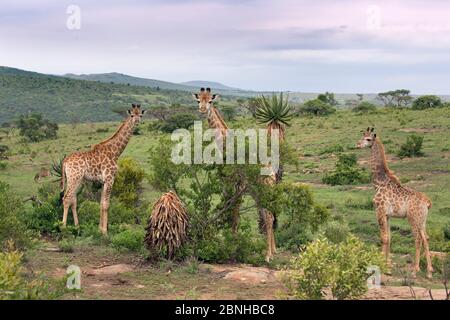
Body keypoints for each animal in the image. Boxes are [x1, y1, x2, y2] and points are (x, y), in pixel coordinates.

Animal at [60, 104, 145, 234]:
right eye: (131, 115)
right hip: (74, 177)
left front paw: (99, 229)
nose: (136, 121)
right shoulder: (110, 178)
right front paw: (105, 232)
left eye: (140, 115)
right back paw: (63, 227)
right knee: (66, 198)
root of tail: (65, 161)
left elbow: (101, 203)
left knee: (73, 200)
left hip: (76, 179)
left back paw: (77, 226)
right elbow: (106, 204)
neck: (115, 152)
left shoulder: (103, 181)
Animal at [193, 87, 278, 260]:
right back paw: (273, 251)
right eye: (199, 100)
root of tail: (273, 175)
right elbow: (230, 211)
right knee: (268, 215)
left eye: (210, 101)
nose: (203, 110)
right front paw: (230, 242)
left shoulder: (238, 184)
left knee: (268, 216)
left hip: (264, 189)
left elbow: (235, 214)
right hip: (257, 192)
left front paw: (232, 244)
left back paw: (268, 255)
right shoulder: (226, 183)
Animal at [356, 127, 434, 278]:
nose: (357, 144)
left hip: (413, 218)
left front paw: (380, 265)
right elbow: (389, 238)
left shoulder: (379, 211)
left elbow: (383, 238)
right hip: (422, 220)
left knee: (417, 238)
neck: (379, 183)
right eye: (361, 136)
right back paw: (429, 271)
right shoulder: (388, 215)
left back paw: (415, 270)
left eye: (368, 139)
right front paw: (388, 266)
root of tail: (427, 202)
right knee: (426, 238)